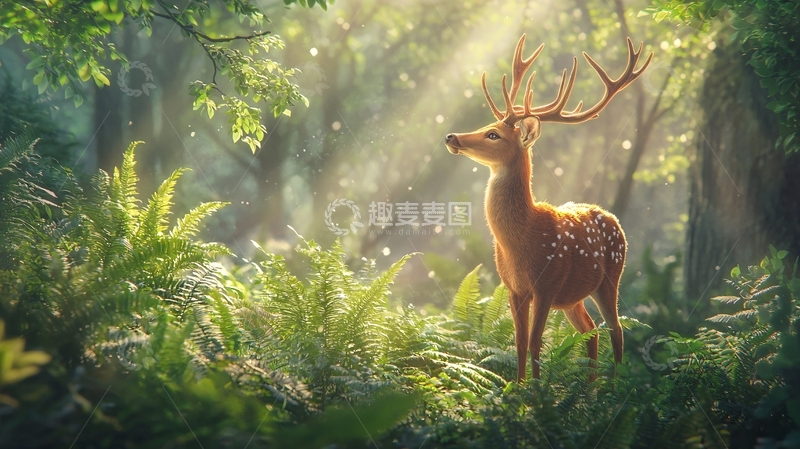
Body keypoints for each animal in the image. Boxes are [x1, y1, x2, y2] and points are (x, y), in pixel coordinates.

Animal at [444, 35, 652, 382]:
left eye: (493, 134)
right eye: (488, 124)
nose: (451, 136)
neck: (520, 240)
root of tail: (613, 219)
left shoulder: (546, 283)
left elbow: (535, 342)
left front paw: (537, 392)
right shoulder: (513, 288)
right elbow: (518, 343)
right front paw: (517, 387)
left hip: (611, 277)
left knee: (616, 330)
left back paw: (612, 386)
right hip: (572, 298)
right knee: (592, 330)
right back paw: (591, 388)